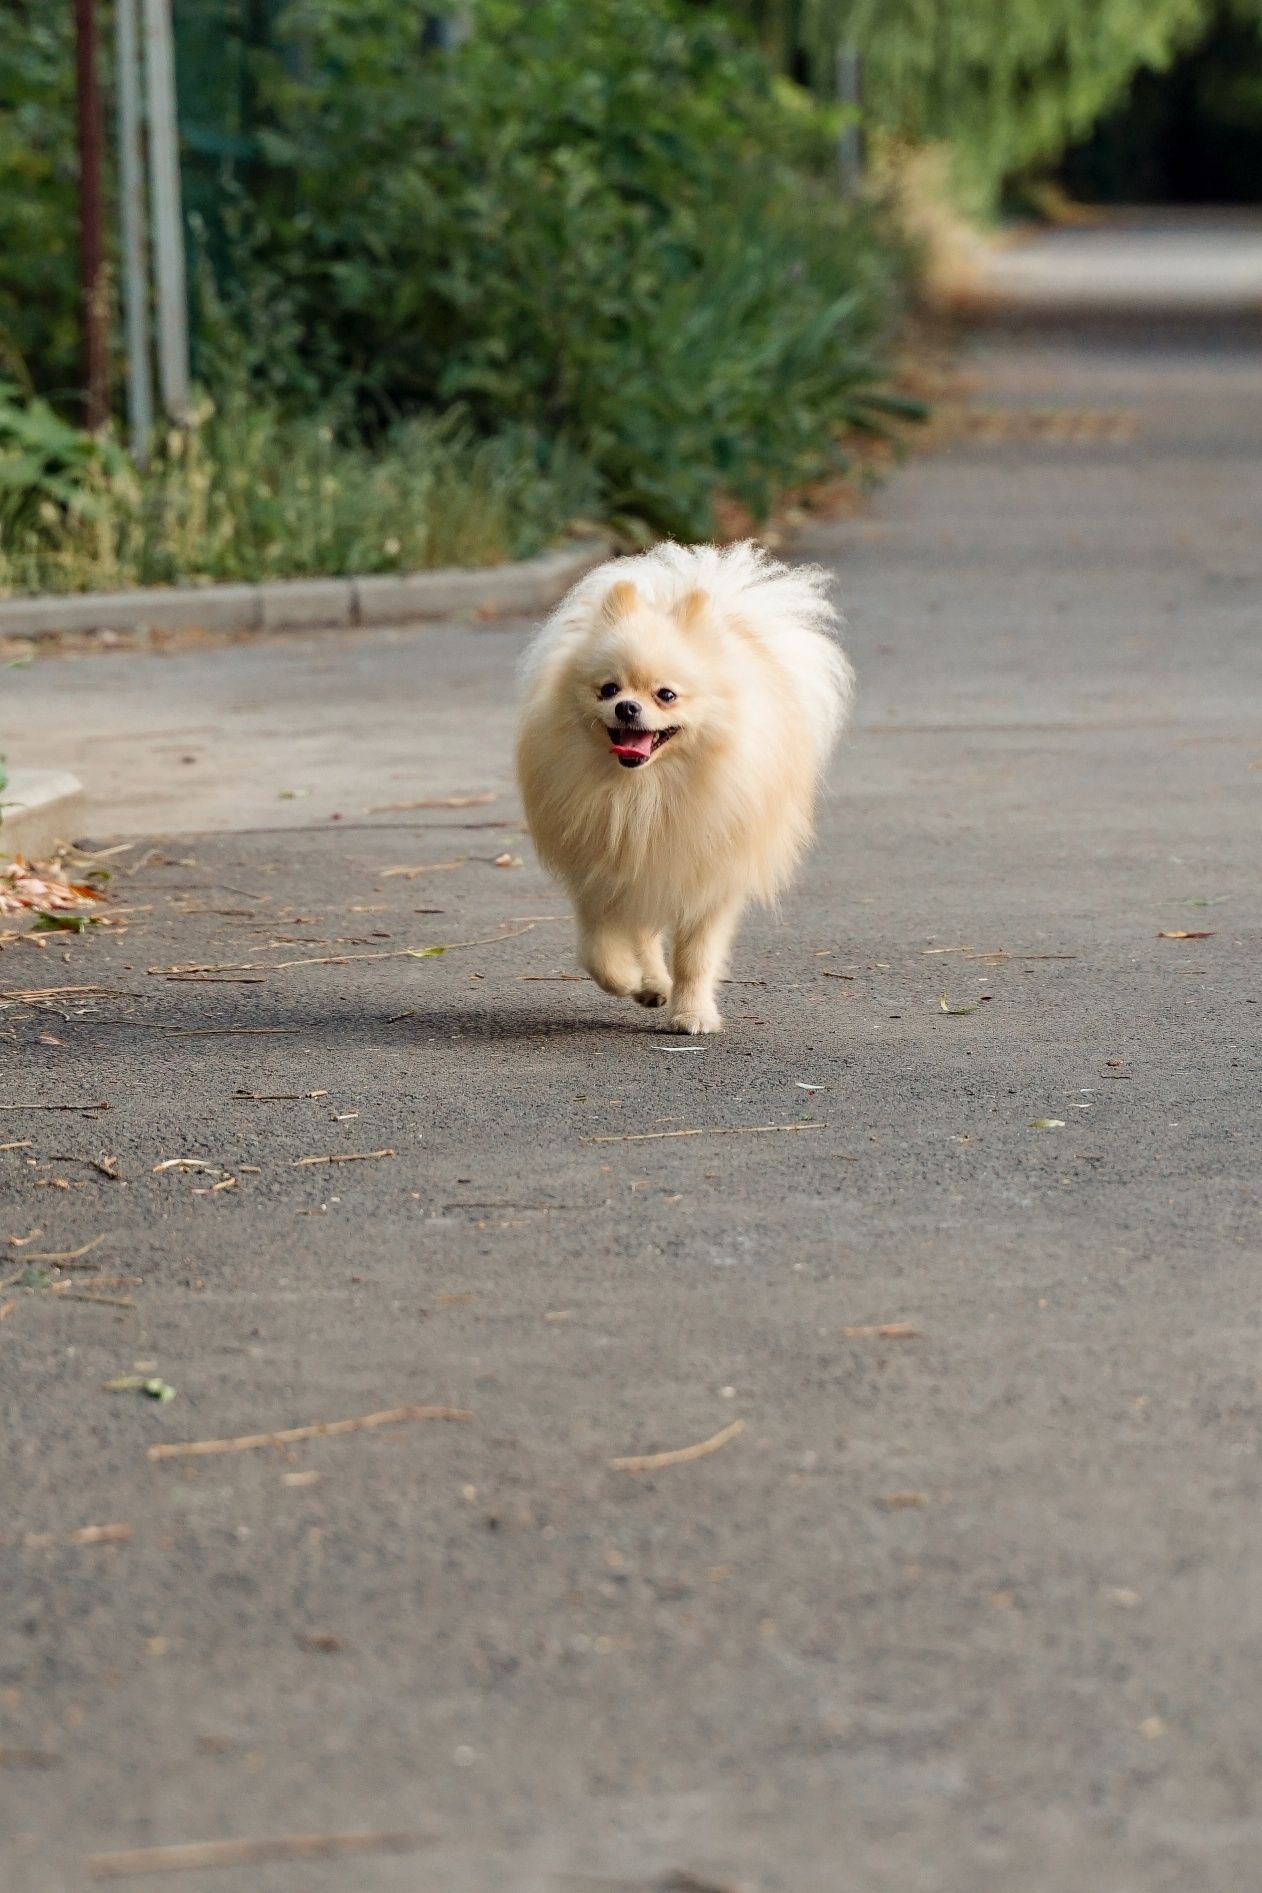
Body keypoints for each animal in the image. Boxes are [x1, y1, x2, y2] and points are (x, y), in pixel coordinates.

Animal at [514, 541, 858, 1037]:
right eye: (608, 689)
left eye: (666, 695)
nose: (627, 706)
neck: (644, 792)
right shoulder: (604, 871)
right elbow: (600, 950)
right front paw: (629, 979)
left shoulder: (707, 876)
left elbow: (695, 957)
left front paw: (692, 1013)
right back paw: (651, 983)